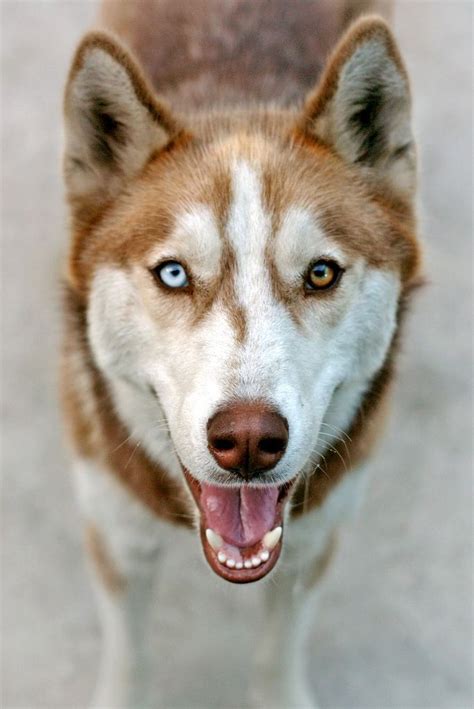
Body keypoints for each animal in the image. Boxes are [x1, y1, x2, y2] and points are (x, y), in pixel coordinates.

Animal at [61, 2, 420, 704]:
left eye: (320, 274)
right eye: (174, 274)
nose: (249, 441)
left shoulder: (315, 541)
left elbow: (277, 656)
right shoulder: (116, 536)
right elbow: (129, 662)